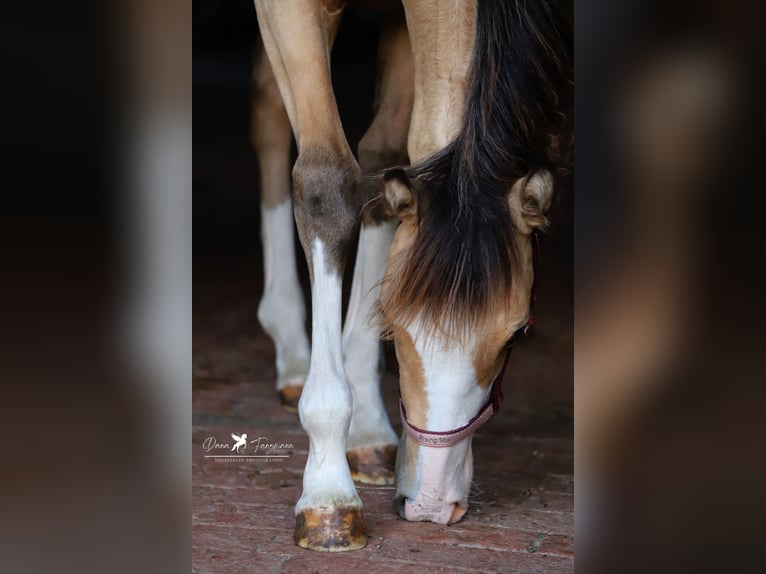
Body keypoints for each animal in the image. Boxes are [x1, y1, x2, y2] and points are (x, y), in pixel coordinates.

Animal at [250, 0, 568, 552]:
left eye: (517, 336)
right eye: (394, 329)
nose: (433, 502)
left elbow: (383, 162)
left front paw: (368, 432)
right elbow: (325, 188)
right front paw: (328, 492)